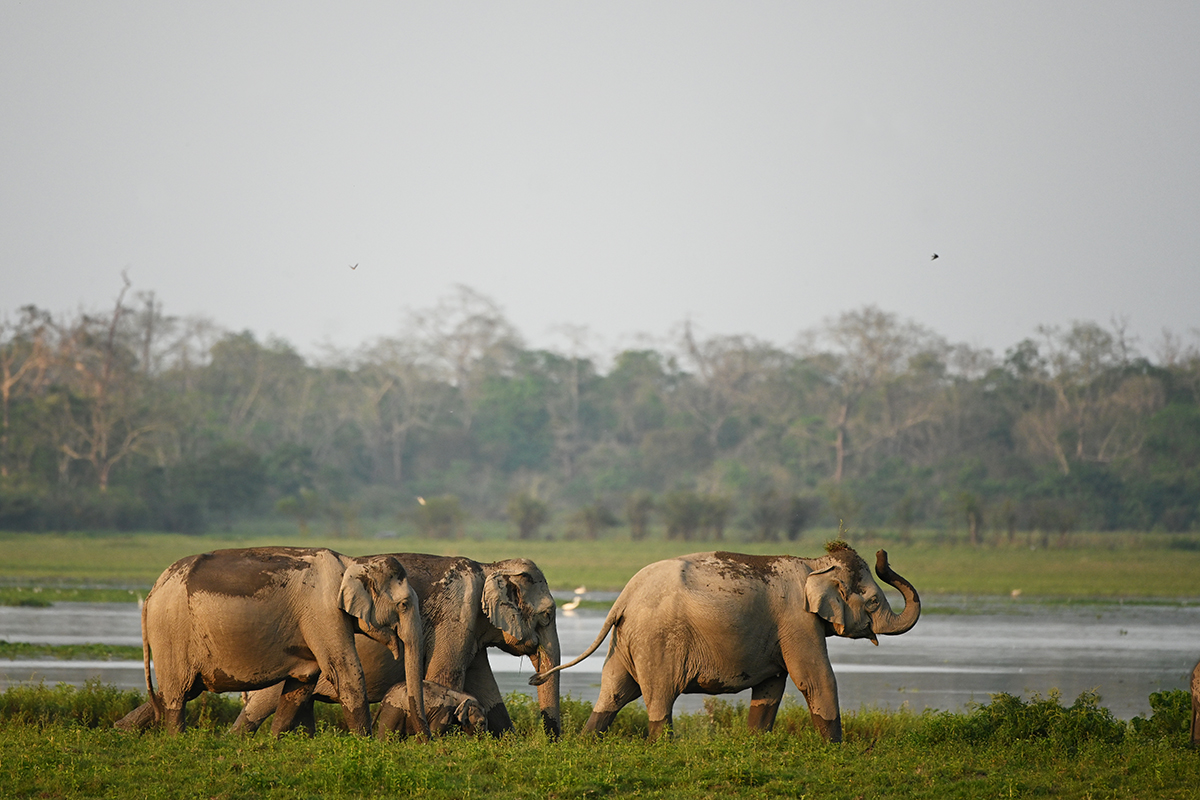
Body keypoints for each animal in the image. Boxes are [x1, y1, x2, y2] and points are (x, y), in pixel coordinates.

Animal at [131, 544, 427, 738]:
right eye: (403, 605)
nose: (427, 740)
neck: (351, 561)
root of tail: (152, 592)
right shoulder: (322, 610)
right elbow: (343, 669)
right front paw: (364, 743)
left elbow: (304, 679)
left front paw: (274, 742)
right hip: (170, 630)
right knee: (177, 693)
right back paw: (176, 740)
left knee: (181, 690)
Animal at [234, 556, 561, 738]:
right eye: (547, 615)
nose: (552, 744)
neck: (488, 567)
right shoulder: (456, 617)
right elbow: (444, 679)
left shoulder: (472, 633)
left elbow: (488, 691)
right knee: (260, 704)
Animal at [528, 544, 916, 743]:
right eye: (873, 602)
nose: (882, 552)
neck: (814, 563)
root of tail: (624, 595)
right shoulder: (798, 621)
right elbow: (815, 677)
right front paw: (834, 748)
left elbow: (771, 686)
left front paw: (756, 743)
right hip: (658, 640)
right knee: (659, 694)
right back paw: (662, 747)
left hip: (628, 640)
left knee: (615, 689)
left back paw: (586, 742)